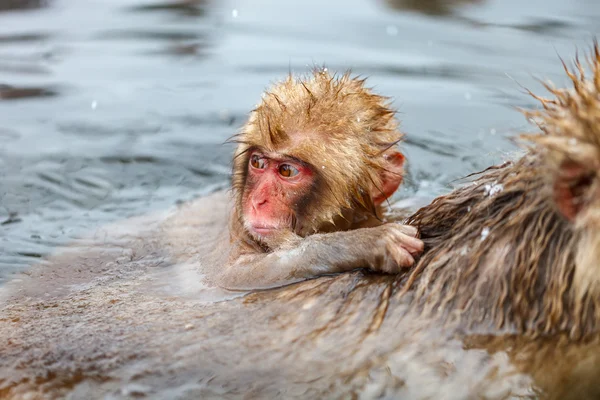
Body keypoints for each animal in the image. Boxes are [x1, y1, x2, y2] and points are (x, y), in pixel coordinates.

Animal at [214, 70, 422, 290]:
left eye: (287, 170)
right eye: (258, 162)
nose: (257, 201)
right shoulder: (237, 225)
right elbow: (232, 276)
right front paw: (363, 241)